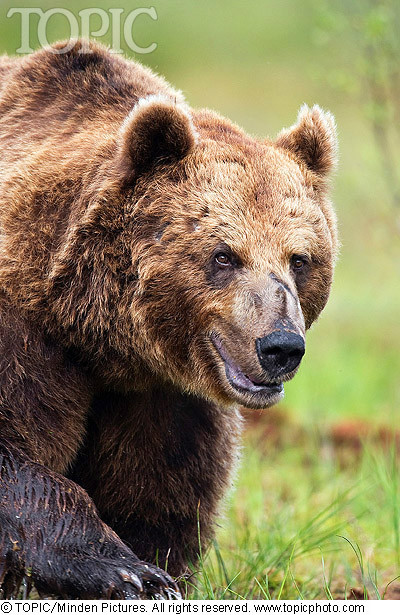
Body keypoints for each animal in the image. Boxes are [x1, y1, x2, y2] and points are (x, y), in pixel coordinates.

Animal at [0, 41, 338, 600]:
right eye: (224, 255)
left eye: (299, 259)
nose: (281, 347)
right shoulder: (26, 339)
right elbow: (18, 459)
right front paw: (125, 571)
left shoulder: (164, 399)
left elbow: (159, 496)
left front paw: (156, 570)